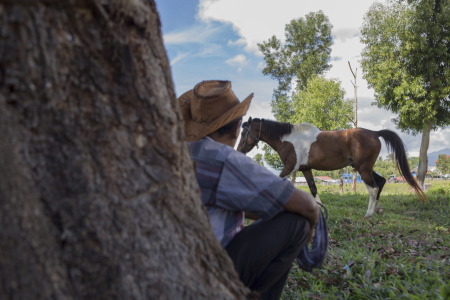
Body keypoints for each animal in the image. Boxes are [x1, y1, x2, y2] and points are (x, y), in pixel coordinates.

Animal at [237, 116, 428, 217]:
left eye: (244, 132)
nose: (239, 150)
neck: (290, 139)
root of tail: (374, 133)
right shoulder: (305, 169)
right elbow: (313, 189)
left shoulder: (290, 168)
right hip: (364, 168)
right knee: (381, 182)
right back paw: (376, 209)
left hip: (363, 169)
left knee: (373, 188)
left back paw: (368, 214)